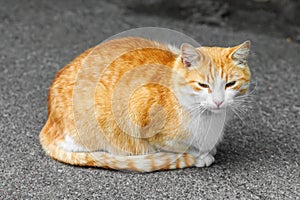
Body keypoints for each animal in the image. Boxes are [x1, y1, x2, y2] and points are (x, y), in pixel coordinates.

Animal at [39, 36, 251, 172]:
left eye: (230, 84)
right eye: (203, 85)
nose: (218, 101)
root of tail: (49, 122)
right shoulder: (143, 118)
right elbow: (182, 147)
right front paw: (200, 155)